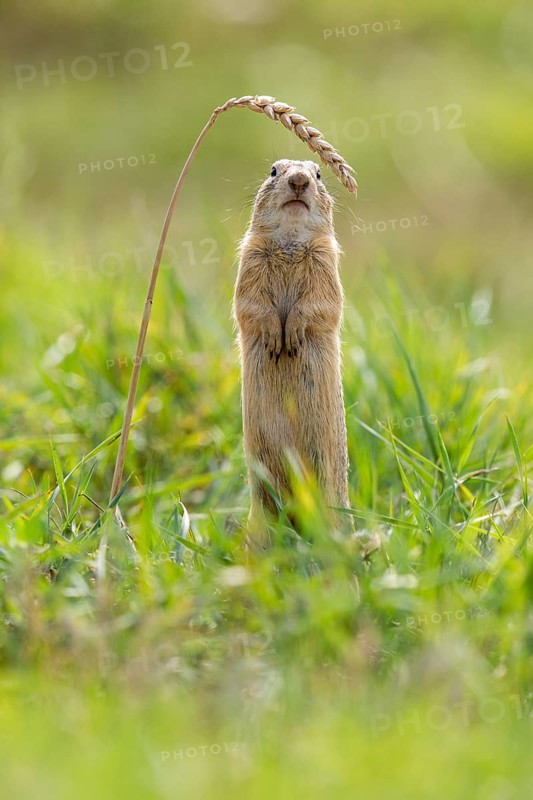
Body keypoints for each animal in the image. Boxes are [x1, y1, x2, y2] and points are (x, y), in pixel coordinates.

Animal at [233, 158, 351, 545]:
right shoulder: (250, 258)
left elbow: (319, 304)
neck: (290, 242)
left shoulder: (325, 262)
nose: (299, 180)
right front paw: (276, 337)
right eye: (273, 170)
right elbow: (251, 304)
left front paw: (292, 335)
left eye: (318, 173)